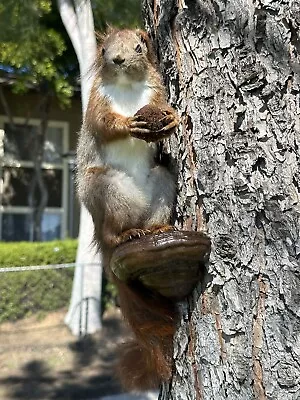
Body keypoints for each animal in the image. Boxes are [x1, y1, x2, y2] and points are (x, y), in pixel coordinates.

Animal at [77, 28, 178, 390]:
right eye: (105, 49)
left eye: (139, 46)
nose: (118, 60)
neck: (127, 87)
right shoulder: (96, 102)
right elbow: (103, 123)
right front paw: (127, 126)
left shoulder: (155, 92)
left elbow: (163, 108)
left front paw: (170, 120)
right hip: (108, 188)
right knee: (113, 231)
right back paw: (124, 235)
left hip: (161, 183)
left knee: (153, 209)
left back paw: (156, 229)